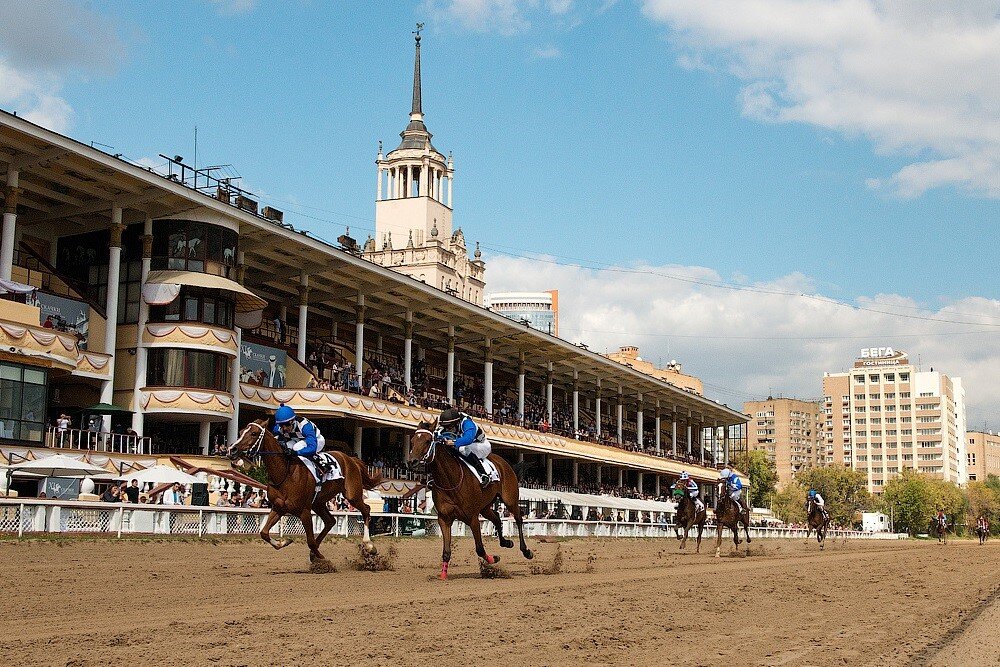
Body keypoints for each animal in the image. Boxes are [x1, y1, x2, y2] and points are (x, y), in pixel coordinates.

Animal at [229, 422, 382, 564]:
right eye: (241, 432)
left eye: (254, 433)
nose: (232, 449)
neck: (285, 473)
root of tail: (351, 459)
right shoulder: (279, 507)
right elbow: (264, 533)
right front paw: (284, 542)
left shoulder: (304, 511)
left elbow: (310, 541)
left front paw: (322, 560)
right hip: (318, 502)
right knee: (330, 521)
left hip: (352, 495)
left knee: (366, 509)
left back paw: (369, 545)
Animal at [408, 426, 536, 580]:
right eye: (412, 441)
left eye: (427, 441)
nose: (412, 462)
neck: (451, 481)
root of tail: (505, 463)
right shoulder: (444, 519)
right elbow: (446, 551)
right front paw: (443, 575)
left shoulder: (472, 517)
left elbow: (480, 549)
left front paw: (494, 558)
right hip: (485, 507)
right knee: (497, 518)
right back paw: (506, 542)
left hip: (510, 500)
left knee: (518, 519)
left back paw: (526, 551)